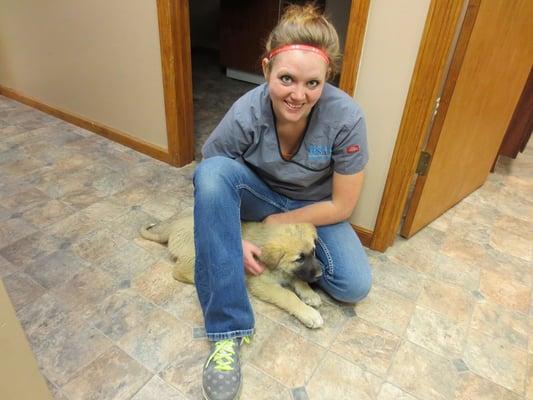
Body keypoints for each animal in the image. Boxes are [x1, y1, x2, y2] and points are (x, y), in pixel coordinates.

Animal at [141, 209, 322, 328]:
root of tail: (173, 228)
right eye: (299, 259)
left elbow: (299, 279)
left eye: (313, 251)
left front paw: (310, 294)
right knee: (179, 271)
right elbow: (287, 295)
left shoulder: (291, 273)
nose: (320, 274)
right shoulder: (260, 283)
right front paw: (309, 314)